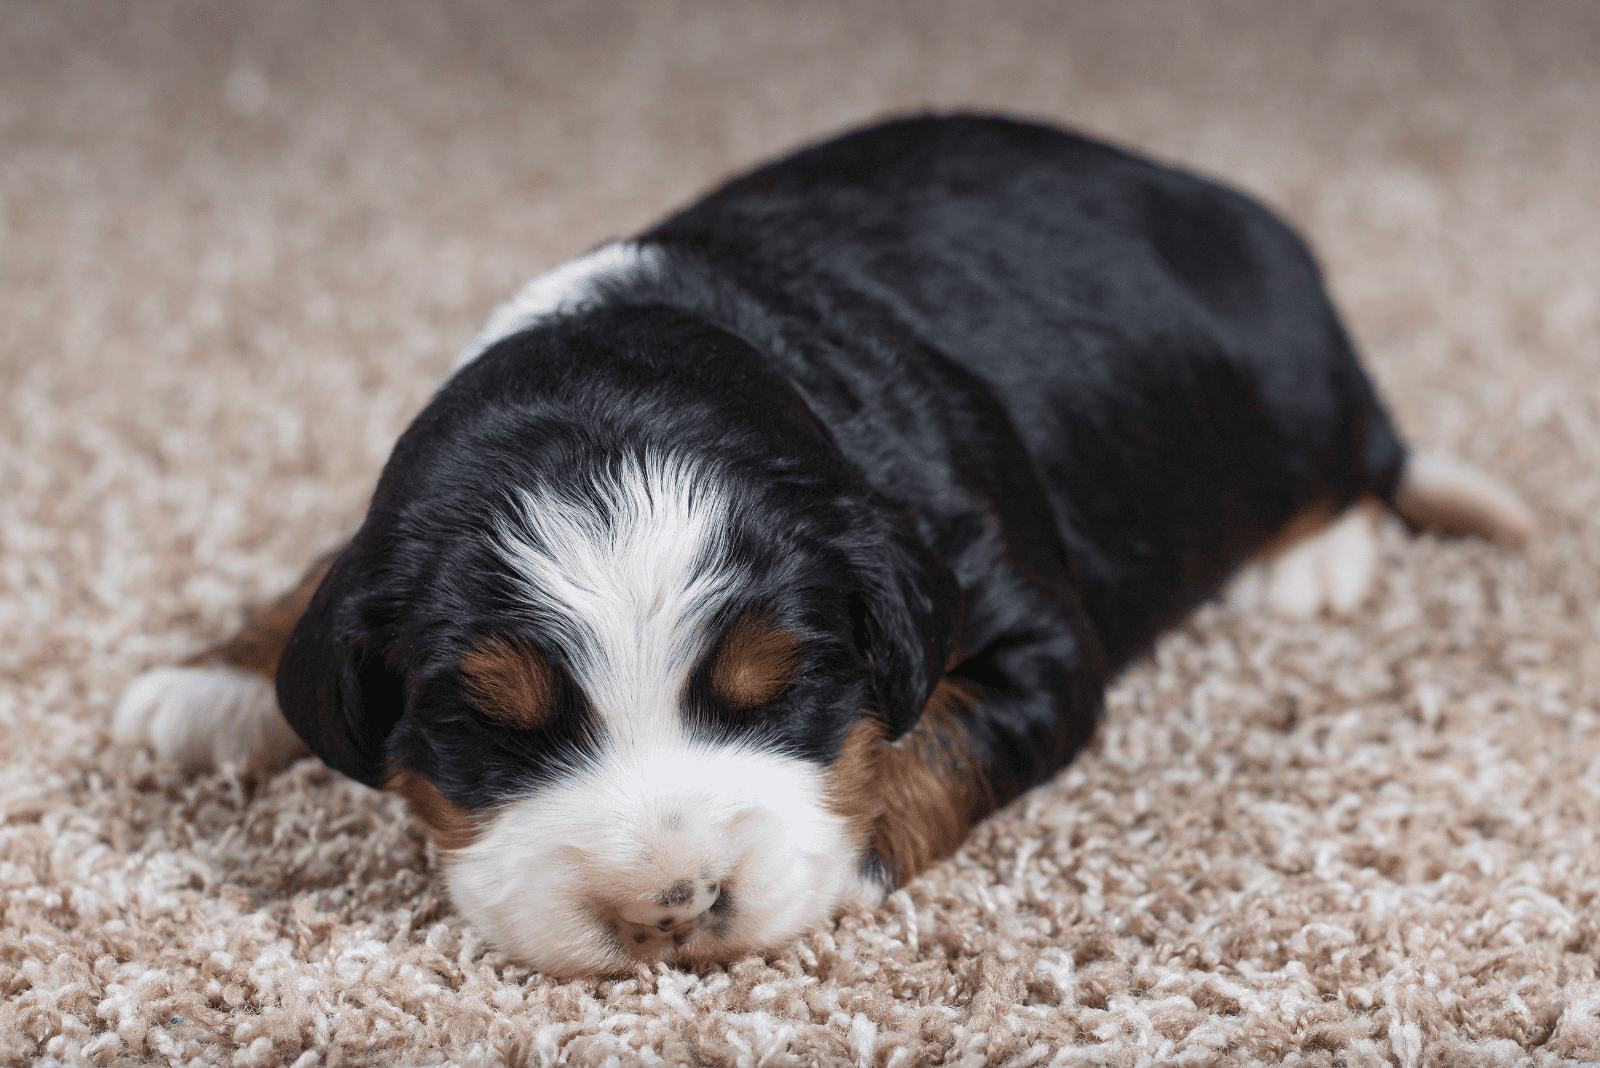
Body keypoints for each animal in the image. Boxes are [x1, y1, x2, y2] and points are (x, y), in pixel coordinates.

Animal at [106, 115, 1529, 978]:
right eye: (489, 725)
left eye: (778, 688)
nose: (671, 909)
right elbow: (327, 568)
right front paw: (220, 674)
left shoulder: (1021, 624)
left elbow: (934, 737)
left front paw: (838, 854)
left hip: (1301, 390)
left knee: (1360, 460)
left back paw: (1310, 560)